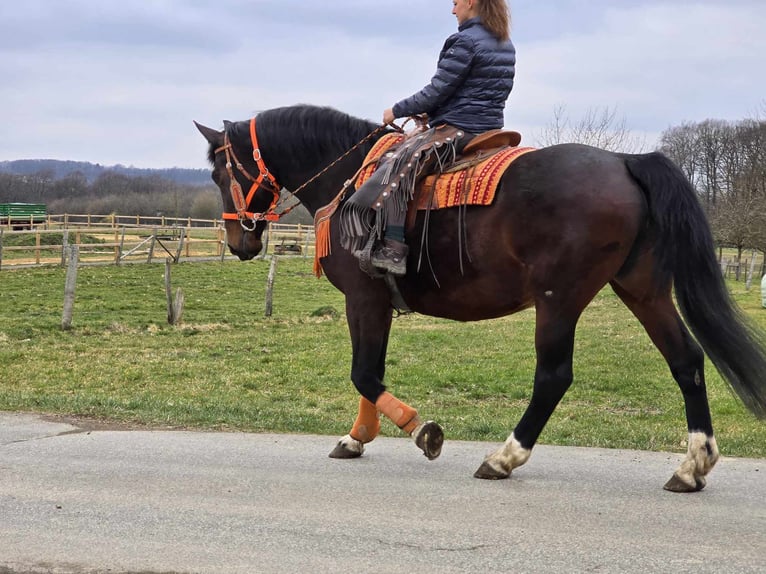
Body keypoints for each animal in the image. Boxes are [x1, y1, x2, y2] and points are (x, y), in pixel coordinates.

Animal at [196, 103, 766, 490]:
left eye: (219, 171)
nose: (240, 241)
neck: (351, 178)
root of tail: (626, 161)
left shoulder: (362, 298)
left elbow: (364, 373)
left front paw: (421, 429)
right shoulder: (375, 303)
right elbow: (369, 371)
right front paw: (356, 436)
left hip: (559, 298)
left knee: (553, 377)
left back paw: (504, 457)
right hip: (642, 289)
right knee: (687, 361)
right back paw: (693, 465)